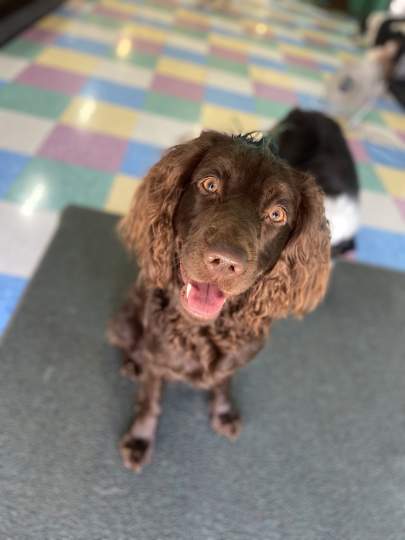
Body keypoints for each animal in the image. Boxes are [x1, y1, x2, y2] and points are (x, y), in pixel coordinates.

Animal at [109, 132, 330, 472]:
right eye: (210, 185)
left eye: (277, 214)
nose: (225, 261)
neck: (203, 331)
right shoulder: (157, 362)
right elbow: (150, 401)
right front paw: (139, 440)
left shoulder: (234, 359)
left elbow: (223, 384)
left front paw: (223, 413)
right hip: (122, 323)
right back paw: (133, 363)